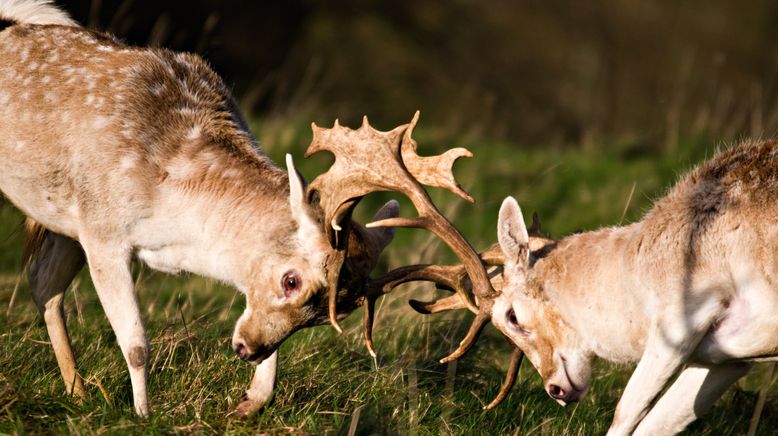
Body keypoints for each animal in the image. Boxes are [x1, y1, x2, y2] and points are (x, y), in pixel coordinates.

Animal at [1, 1, 498, 418]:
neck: (172, 222)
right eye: (291, 280)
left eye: (334, 313)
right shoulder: (103, 229)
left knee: (42, 283)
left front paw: (248, 402)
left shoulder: (86, 223)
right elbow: (137, 342)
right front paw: (143, 415)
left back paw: (78, 392)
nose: (247, 349)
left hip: (61, 217)